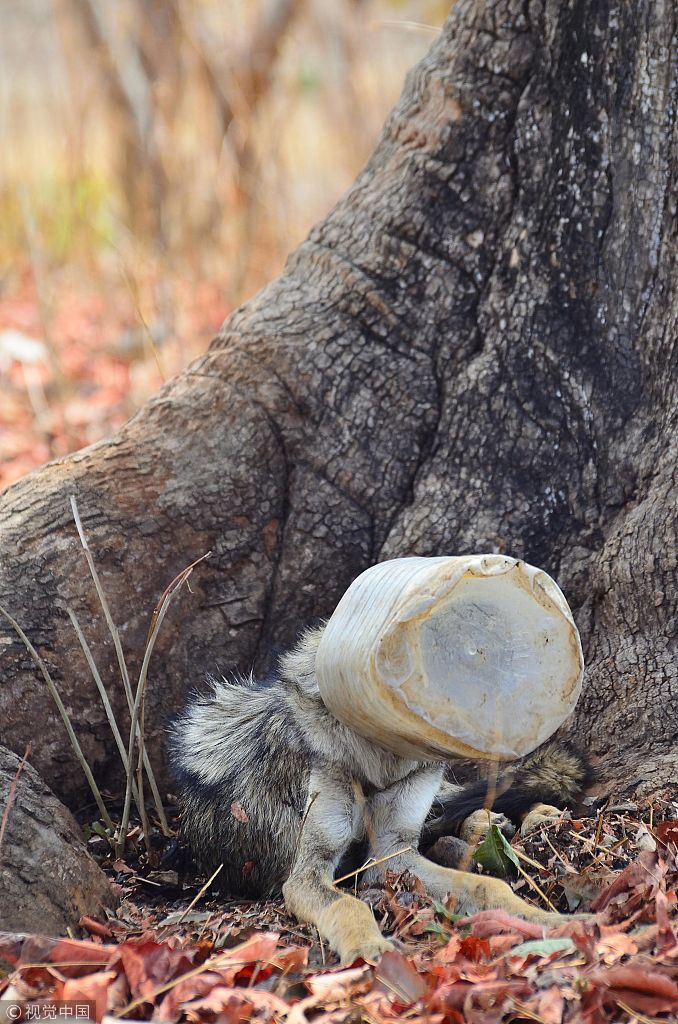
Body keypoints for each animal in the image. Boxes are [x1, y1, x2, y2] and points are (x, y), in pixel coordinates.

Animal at [171, 618, 594, 962]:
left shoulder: (394, 852)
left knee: (465, 801)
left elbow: (490, 886)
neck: (381, 760)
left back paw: (530, 818)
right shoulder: (309, 873)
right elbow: (350, 907)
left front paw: (550, 920)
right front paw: (368, 947)